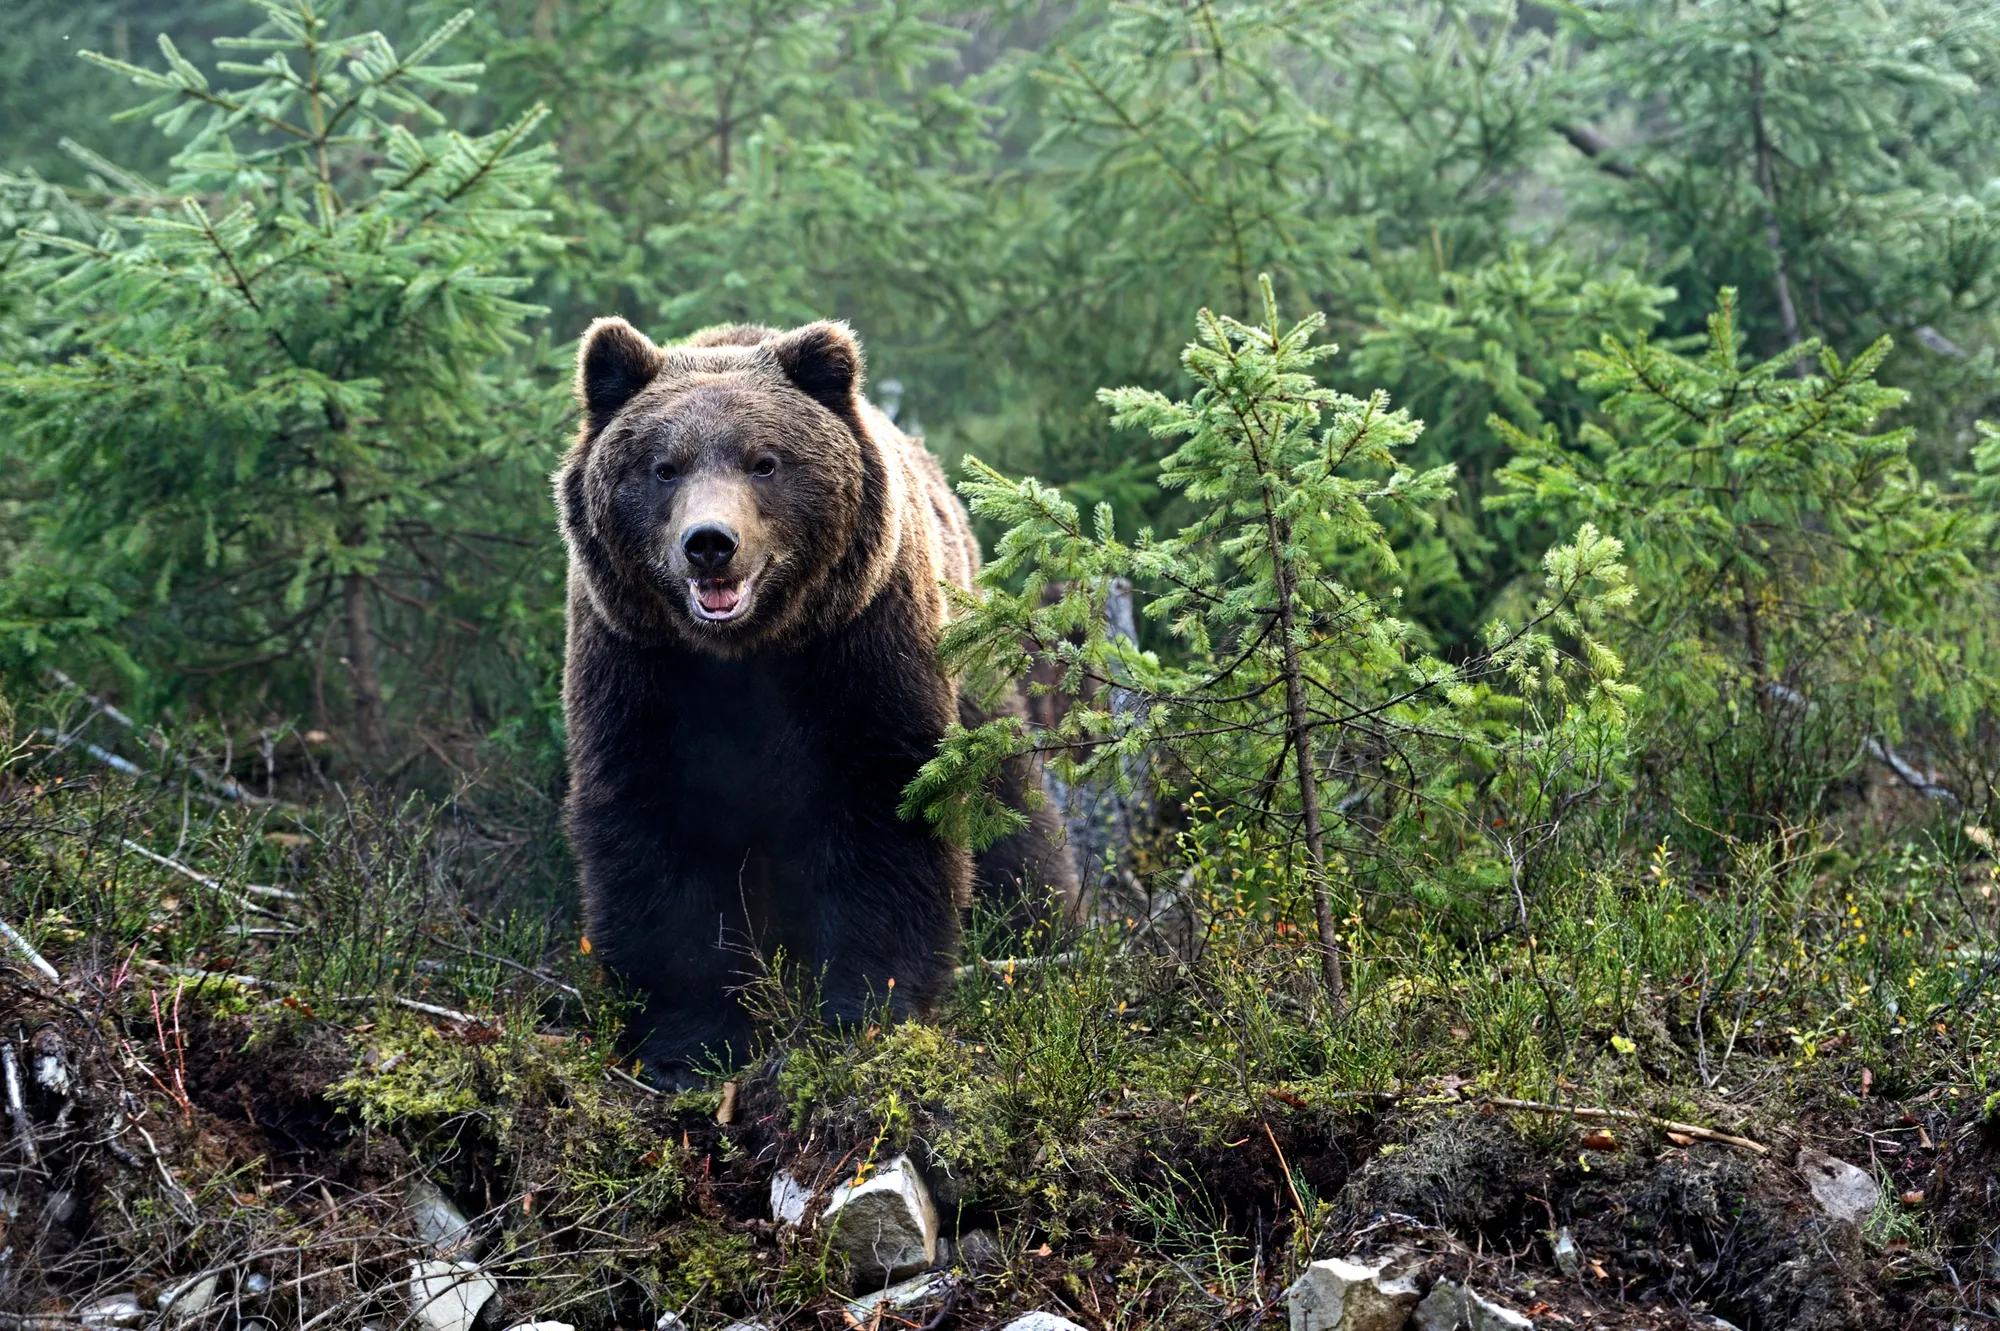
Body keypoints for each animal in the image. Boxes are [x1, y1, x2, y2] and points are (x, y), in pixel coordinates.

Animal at [557, 316, 1077, 1086]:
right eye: (663, 467)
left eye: (763, 462)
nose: (709, 543)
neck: (745, 652)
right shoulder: (640, 669)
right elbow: (659, 838)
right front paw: (688, 1045)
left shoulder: (859, 650)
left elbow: (885, 812)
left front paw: (864, 1012)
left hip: (970, 663)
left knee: (1011, 810)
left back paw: (1041, 930)